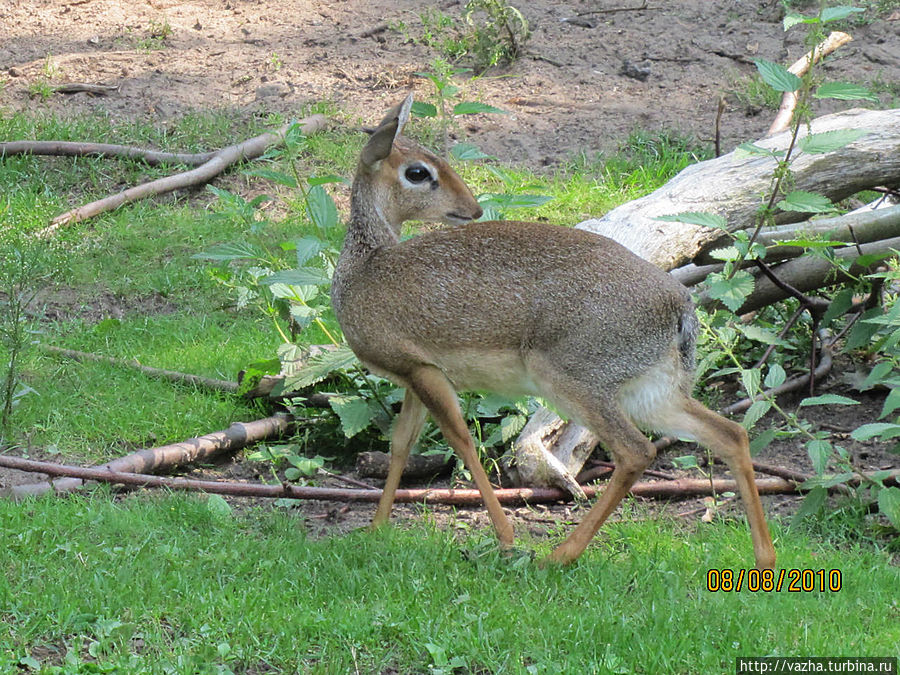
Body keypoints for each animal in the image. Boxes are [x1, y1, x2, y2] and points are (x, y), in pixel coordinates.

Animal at [330, 93, 772, 572]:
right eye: (418, 170)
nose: (472, 208)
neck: (362, 272)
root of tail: (680, 306)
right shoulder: (415, 377)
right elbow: (401, 444)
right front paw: (375, 529)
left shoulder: (421, 371)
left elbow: (462, 442)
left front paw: (506, 538)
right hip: (651, 394)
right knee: (730, 435)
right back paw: (765, 559)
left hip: (574, 384)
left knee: (637, 452)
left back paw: (558, 555)